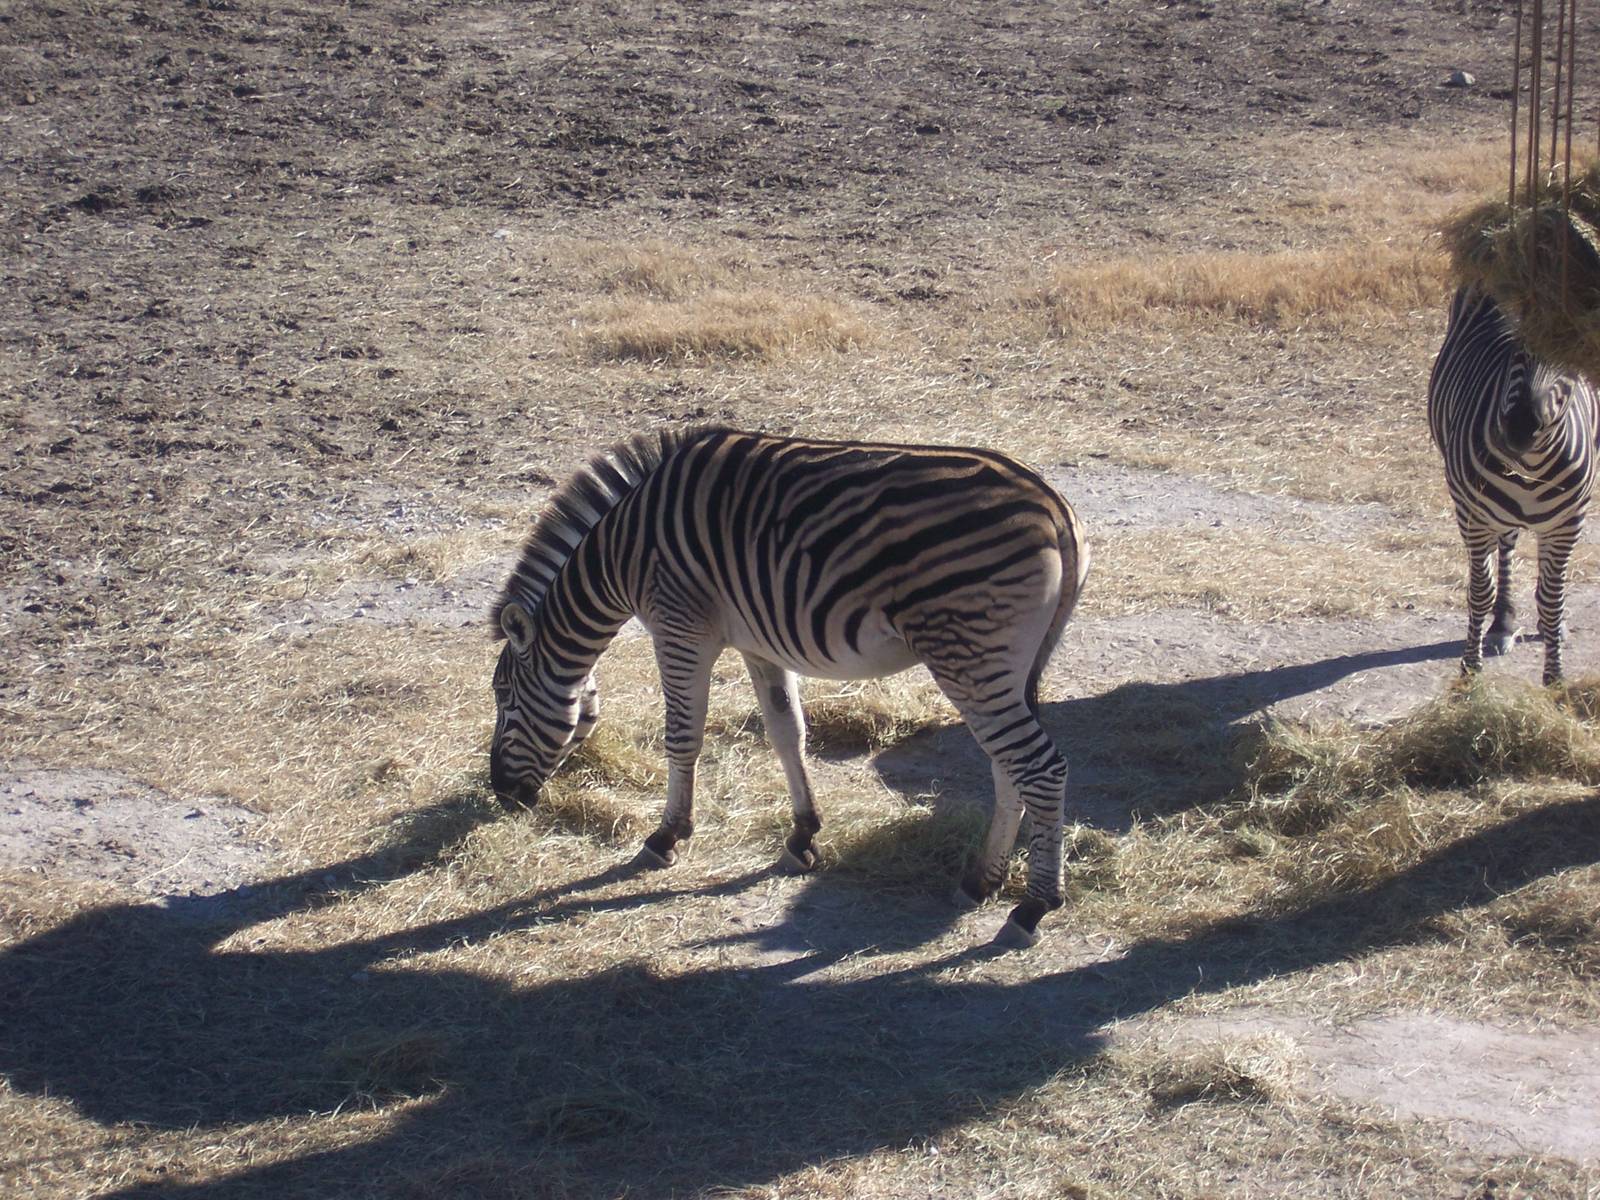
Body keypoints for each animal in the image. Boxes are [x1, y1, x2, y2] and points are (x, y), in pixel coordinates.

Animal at [489, 426, 1089, 948]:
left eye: (504, 699)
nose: (501, 794)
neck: (622, 549)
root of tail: (1054, 505)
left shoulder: (679, 626)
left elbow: (682, 737)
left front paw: (667, 837)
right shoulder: (759, 643)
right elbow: (785, 732)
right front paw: (803, 837)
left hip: (969, 653)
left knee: (1042, 767)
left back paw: (1032, 907)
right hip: (1003, 666)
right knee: (1009, 766)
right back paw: (982, 881)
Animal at [1429, 285, 1598, 684]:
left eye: (1571, 360)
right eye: (1519, 350)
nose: (1520, 429)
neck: (1532, 464)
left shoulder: (1569, 522)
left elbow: (1553, 599)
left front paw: (1555, 679)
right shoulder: (1473, 513)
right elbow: (1480, 591)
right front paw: (1469, 672)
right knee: (1504, 547)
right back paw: (1503, 623)